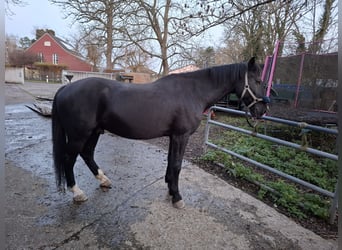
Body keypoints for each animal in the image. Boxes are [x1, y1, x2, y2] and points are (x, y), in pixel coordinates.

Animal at [51, 57, 270, 208]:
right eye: (258, 80)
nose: (262, 111)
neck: (193, 92)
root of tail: (65, 89)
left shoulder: (174, 136)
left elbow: (171, 163)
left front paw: (170, 189)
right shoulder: (181, 136)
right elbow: (177, 165)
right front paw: (177, 197)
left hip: (94, 132)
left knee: (87, 154)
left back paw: (103, 180)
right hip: (79, 135)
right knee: (69, 159)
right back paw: (77, 193)